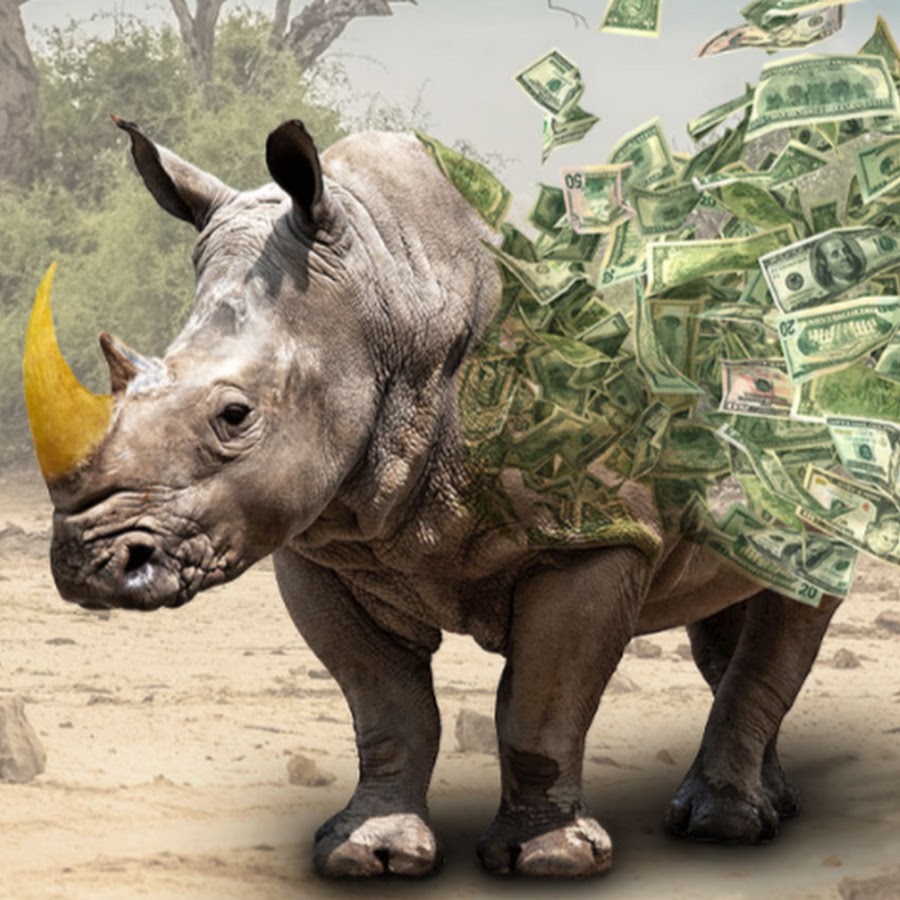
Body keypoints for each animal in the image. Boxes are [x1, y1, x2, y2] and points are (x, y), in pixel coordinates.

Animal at [23, 118, 841, 878]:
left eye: (234, 416)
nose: (90, 565)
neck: (391, 303)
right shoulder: (323, 548)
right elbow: (388, 706)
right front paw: (369, 854)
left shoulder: (592, 535)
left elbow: (541, 705)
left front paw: (551, 861)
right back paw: (769, 807)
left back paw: (724, 828)